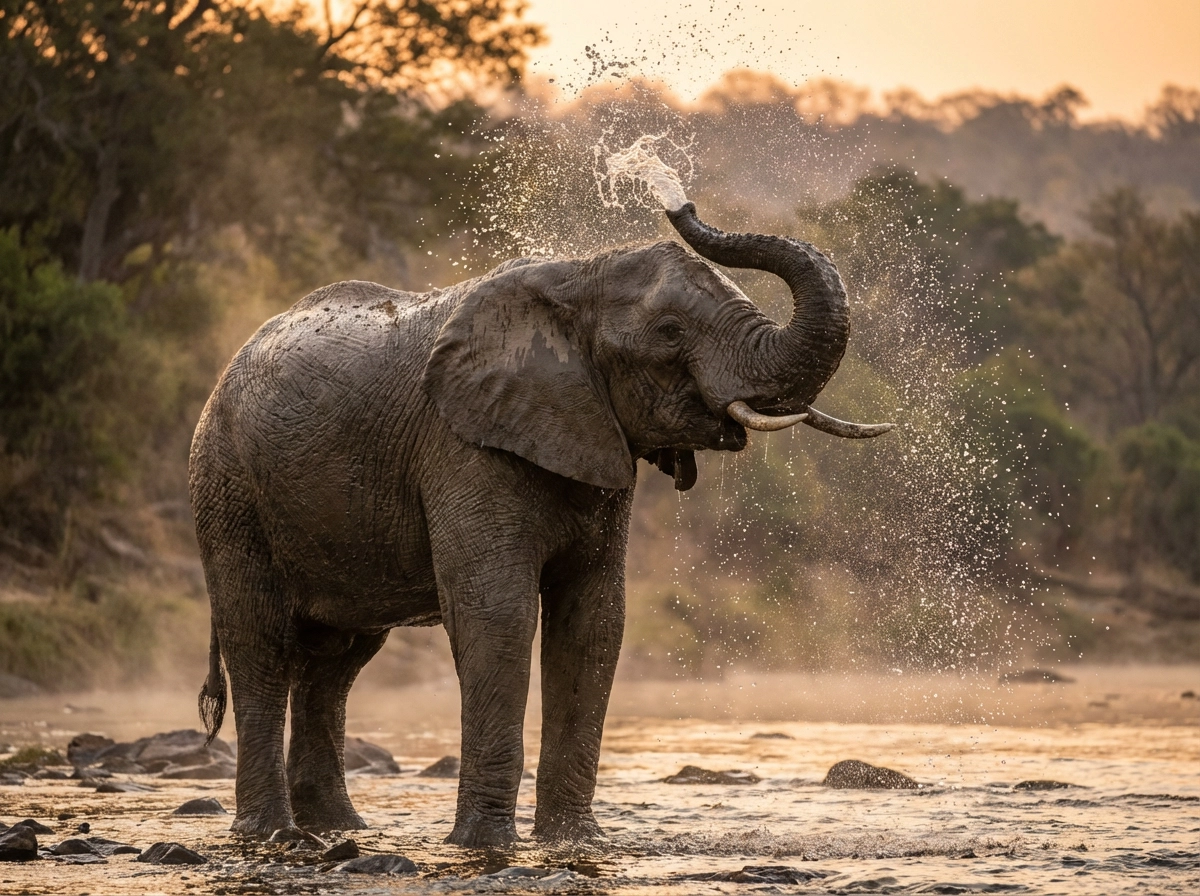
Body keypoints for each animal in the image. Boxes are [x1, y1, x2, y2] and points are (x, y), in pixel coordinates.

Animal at [188, 200, 892, 847]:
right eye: (669, 332)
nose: (680, 203)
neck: (579, 276)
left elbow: (593, 623)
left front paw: (574, 843)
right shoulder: (464, 446)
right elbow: (498, 615)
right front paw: (483, 846)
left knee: (336, 661)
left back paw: (339, 830)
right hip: (227, 488)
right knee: (262, 644)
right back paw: (272, 836)